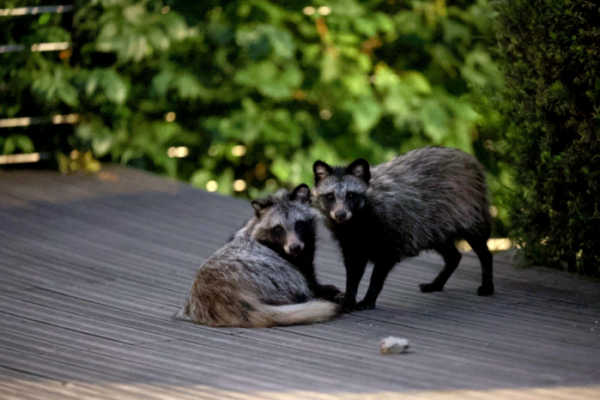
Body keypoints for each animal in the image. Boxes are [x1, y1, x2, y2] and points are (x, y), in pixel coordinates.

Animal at [176, 184, 340, 328]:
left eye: (299, 224)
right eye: (278, 229)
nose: (294, 248)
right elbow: (310, 283)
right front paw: (326, 290)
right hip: (275, 275)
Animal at [312, 146, 494, 312]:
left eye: (351, 195)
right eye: (330, 196)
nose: (340, 214)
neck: (354, 222)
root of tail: (468, 157)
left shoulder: (389, 233)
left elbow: (377, 275)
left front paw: (369, 297)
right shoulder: (350, 242)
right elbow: (353, 272)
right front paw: (349, 297)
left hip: (467, 209)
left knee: (481, 247)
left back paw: (487, 282)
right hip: (435, 223)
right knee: (452, 255)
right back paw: (439, 281)